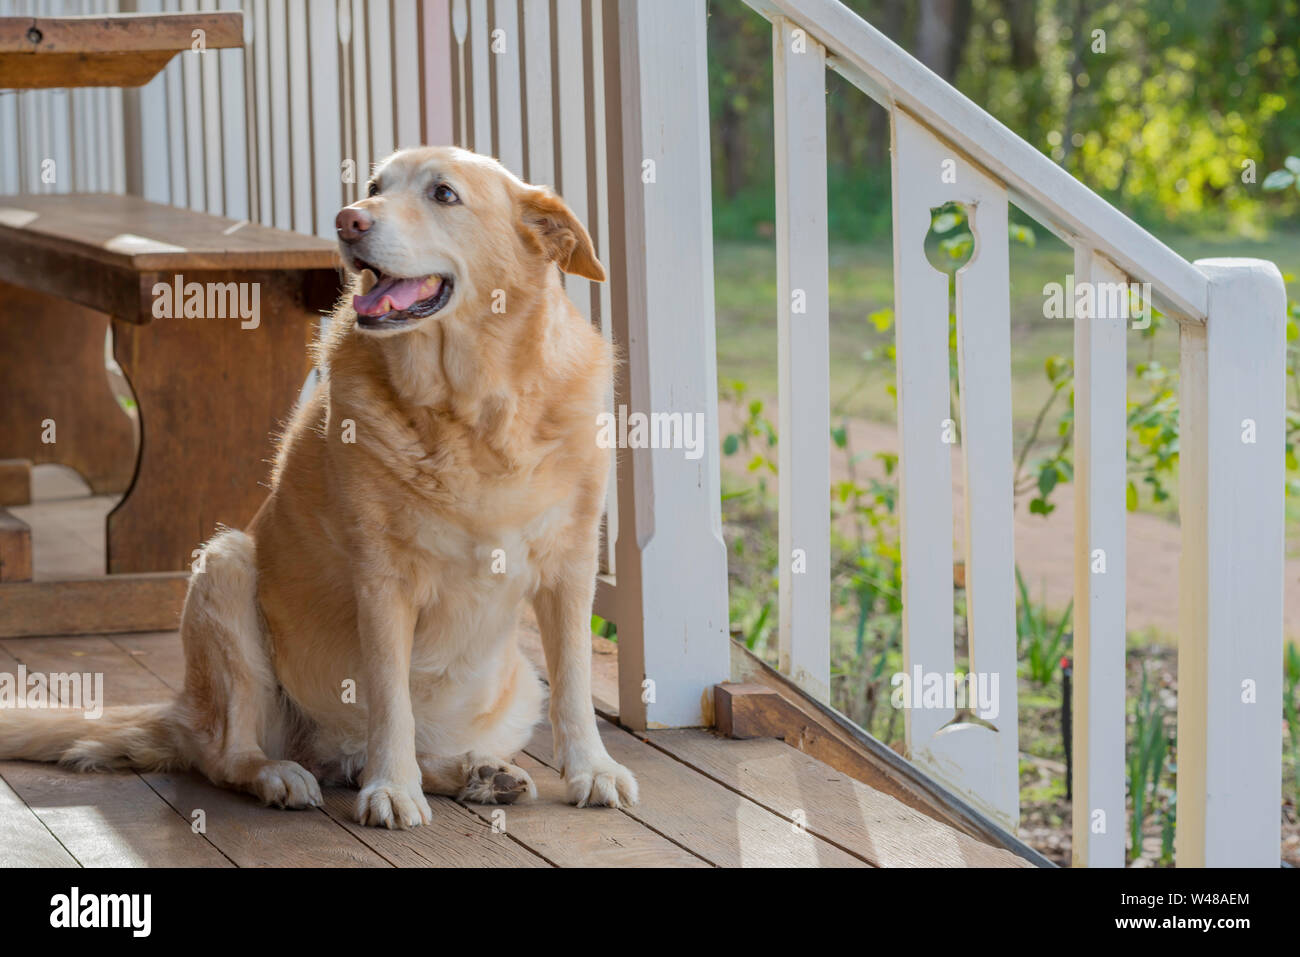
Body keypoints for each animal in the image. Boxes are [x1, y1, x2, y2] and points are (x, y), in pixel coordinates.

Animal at [0, 145, 639, 826]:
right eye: (375, 185)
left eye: (443, 194)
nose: (348, 219)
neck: (474, 407)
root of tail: (179, 708)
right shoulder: (382, 579)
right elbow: (389, 697)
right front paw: (393, 788)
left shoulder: (571, 566)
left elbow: (574, 685)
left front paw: (593, 769)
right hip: (225, 568)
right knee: (225, 756)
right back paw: (282, 775)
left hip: (516, 691)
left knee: (402, 750)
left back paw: (478, 772)